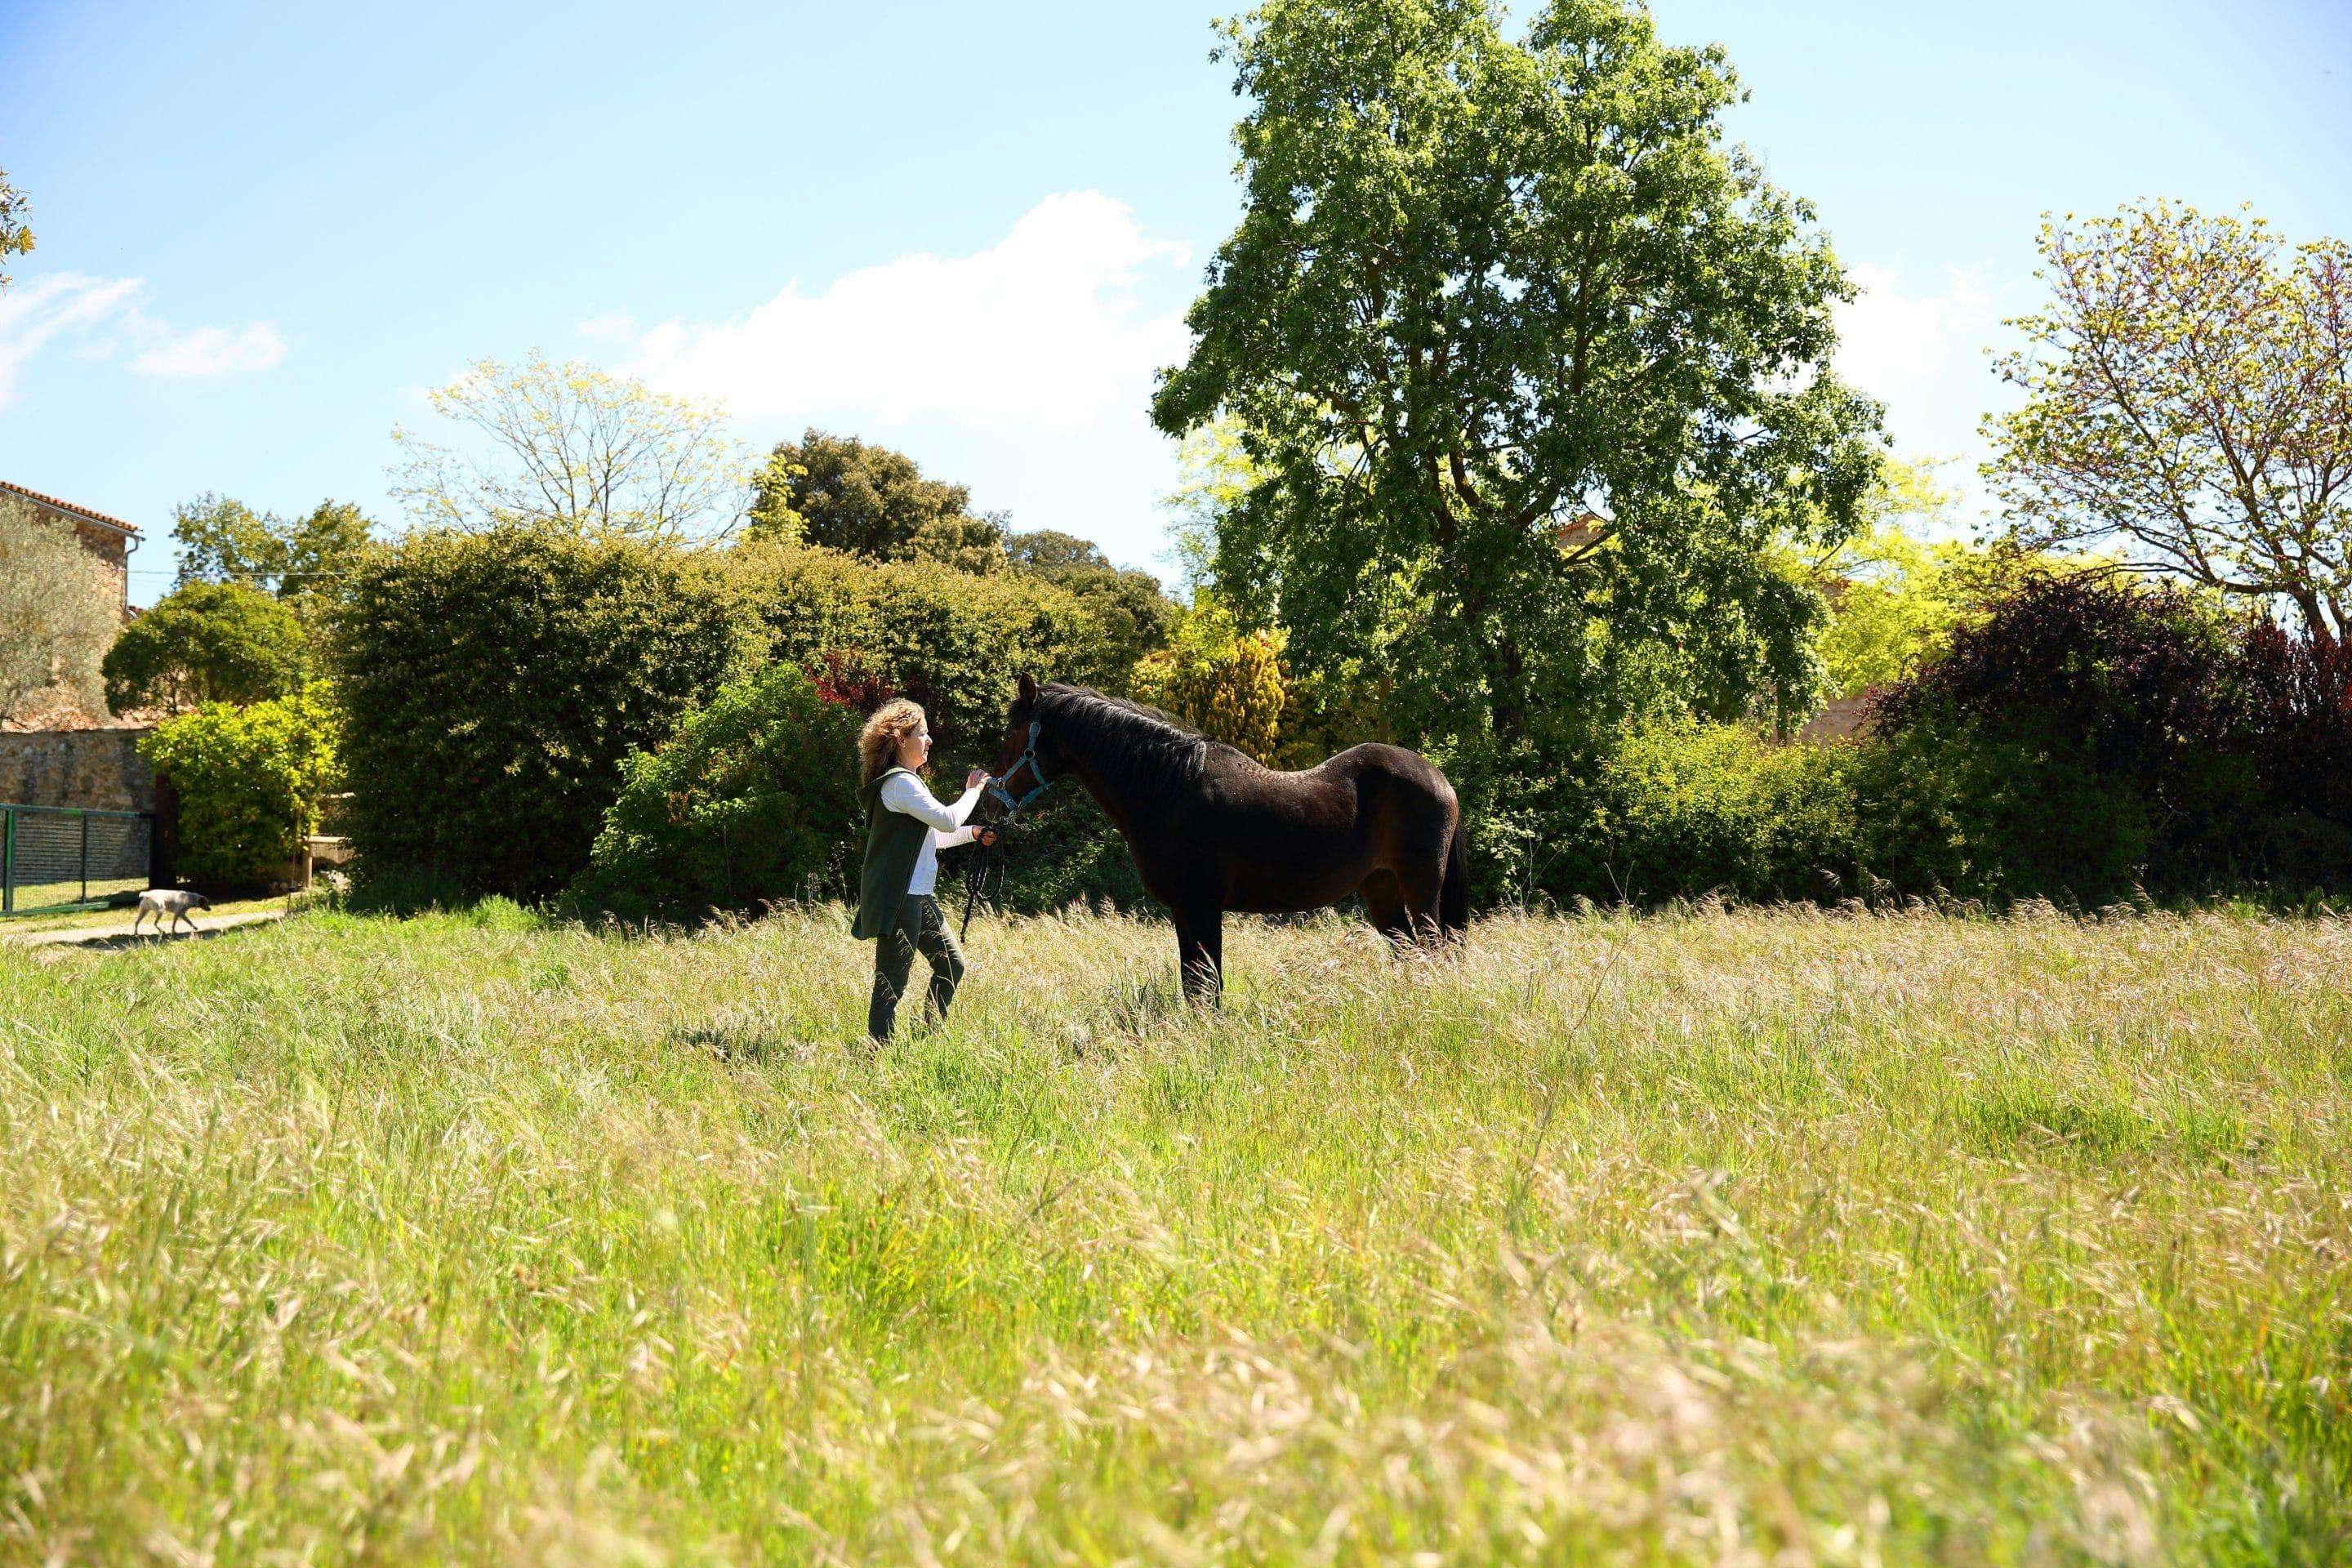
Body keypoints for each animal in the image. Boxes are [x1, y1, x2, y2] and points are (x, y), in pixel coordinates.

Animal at [978, 672, 1458, 991]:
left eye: (1012, 736)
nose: (988, 803)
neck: (1169, 787)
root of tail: (1438, 777)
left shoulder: (1201, 907)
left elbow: (1206, 985)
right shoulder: (1183, 911)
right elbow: (1195, 983)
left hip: (1420, 887)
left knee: (1432, 947)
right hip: (1381, 890)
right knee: (1408, 949)